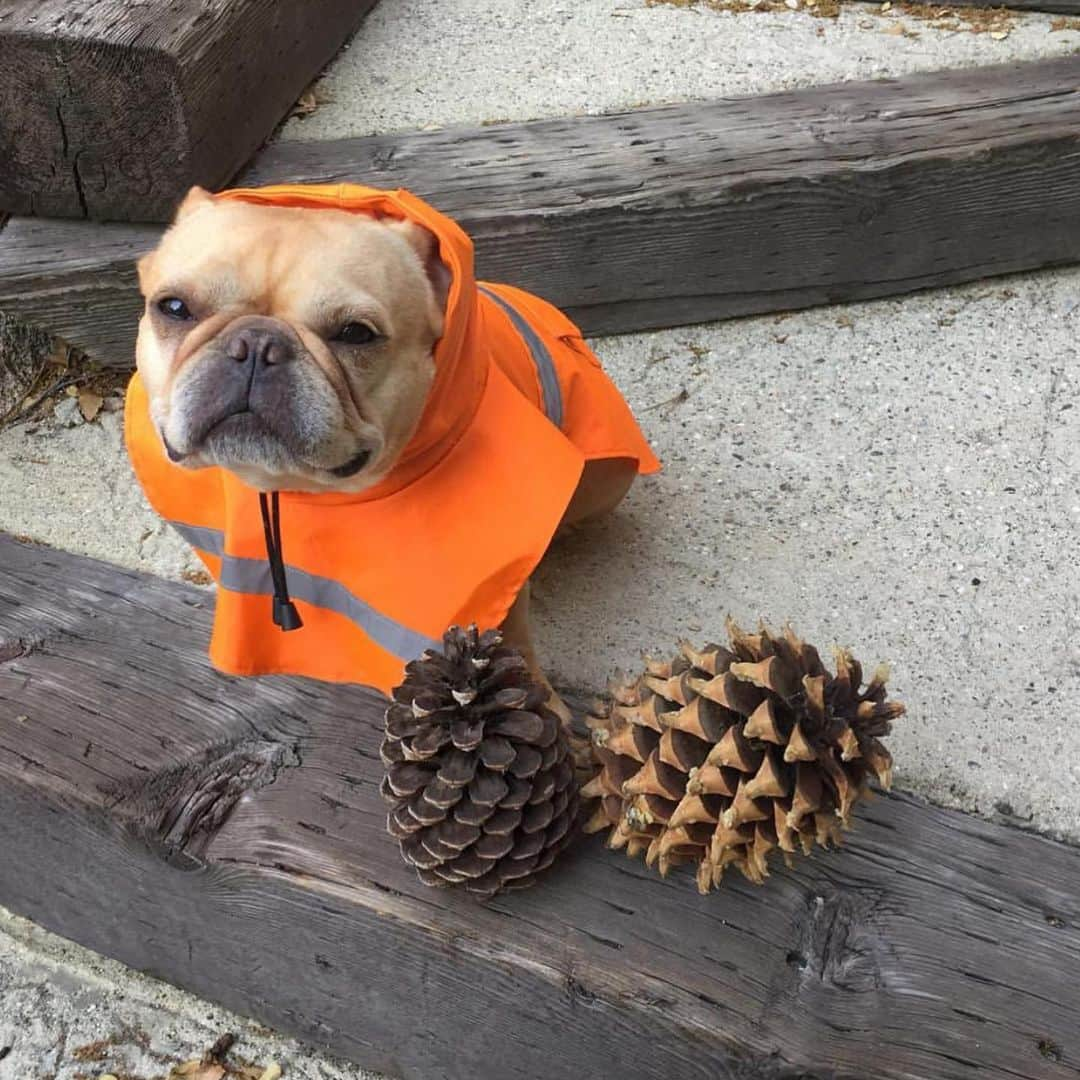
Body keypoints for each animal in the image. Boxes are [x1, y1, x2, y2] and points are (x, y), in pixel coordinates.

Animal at [130, 181, 660, 712]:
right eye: (173, 307)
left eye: (355, 334)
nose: (256, 345)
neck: (305, 491)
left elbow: (511, 637)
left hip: (606, 481)